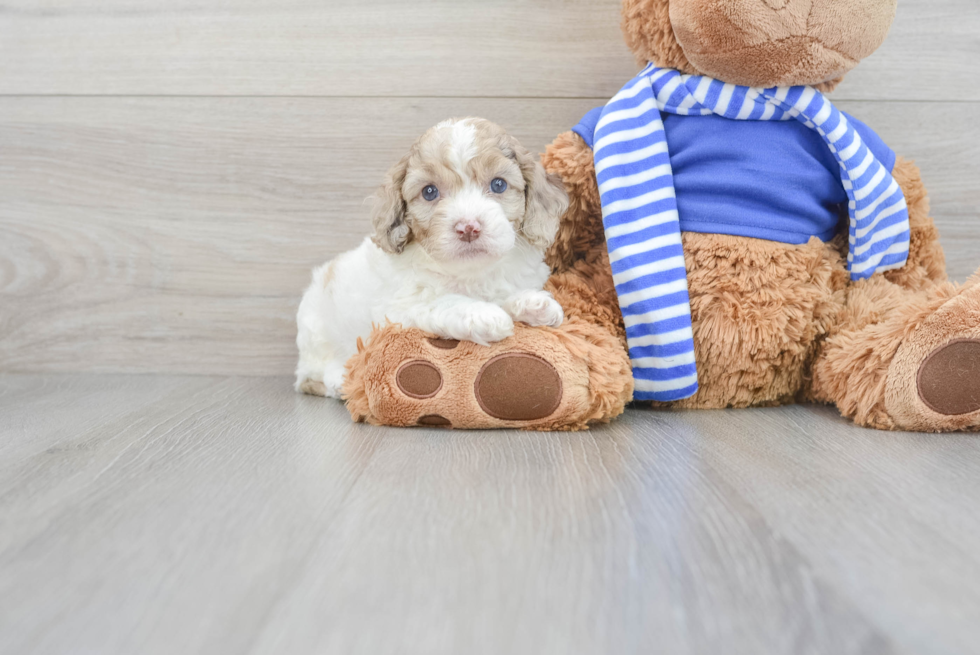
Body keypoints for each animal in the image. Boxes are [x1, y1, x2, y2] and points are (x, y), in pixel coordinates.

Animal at [294, 116, 572, 398]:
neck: (470, 271)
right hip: (316, 336)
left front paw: (533, 303)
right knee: (309, 375)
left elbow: (505, 293)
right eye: (429, 192)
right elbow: (444, 301)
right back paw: (339, 380)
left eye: (498, 184)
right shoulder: (400, 308)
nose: (468, 227)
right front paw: (483, 315)